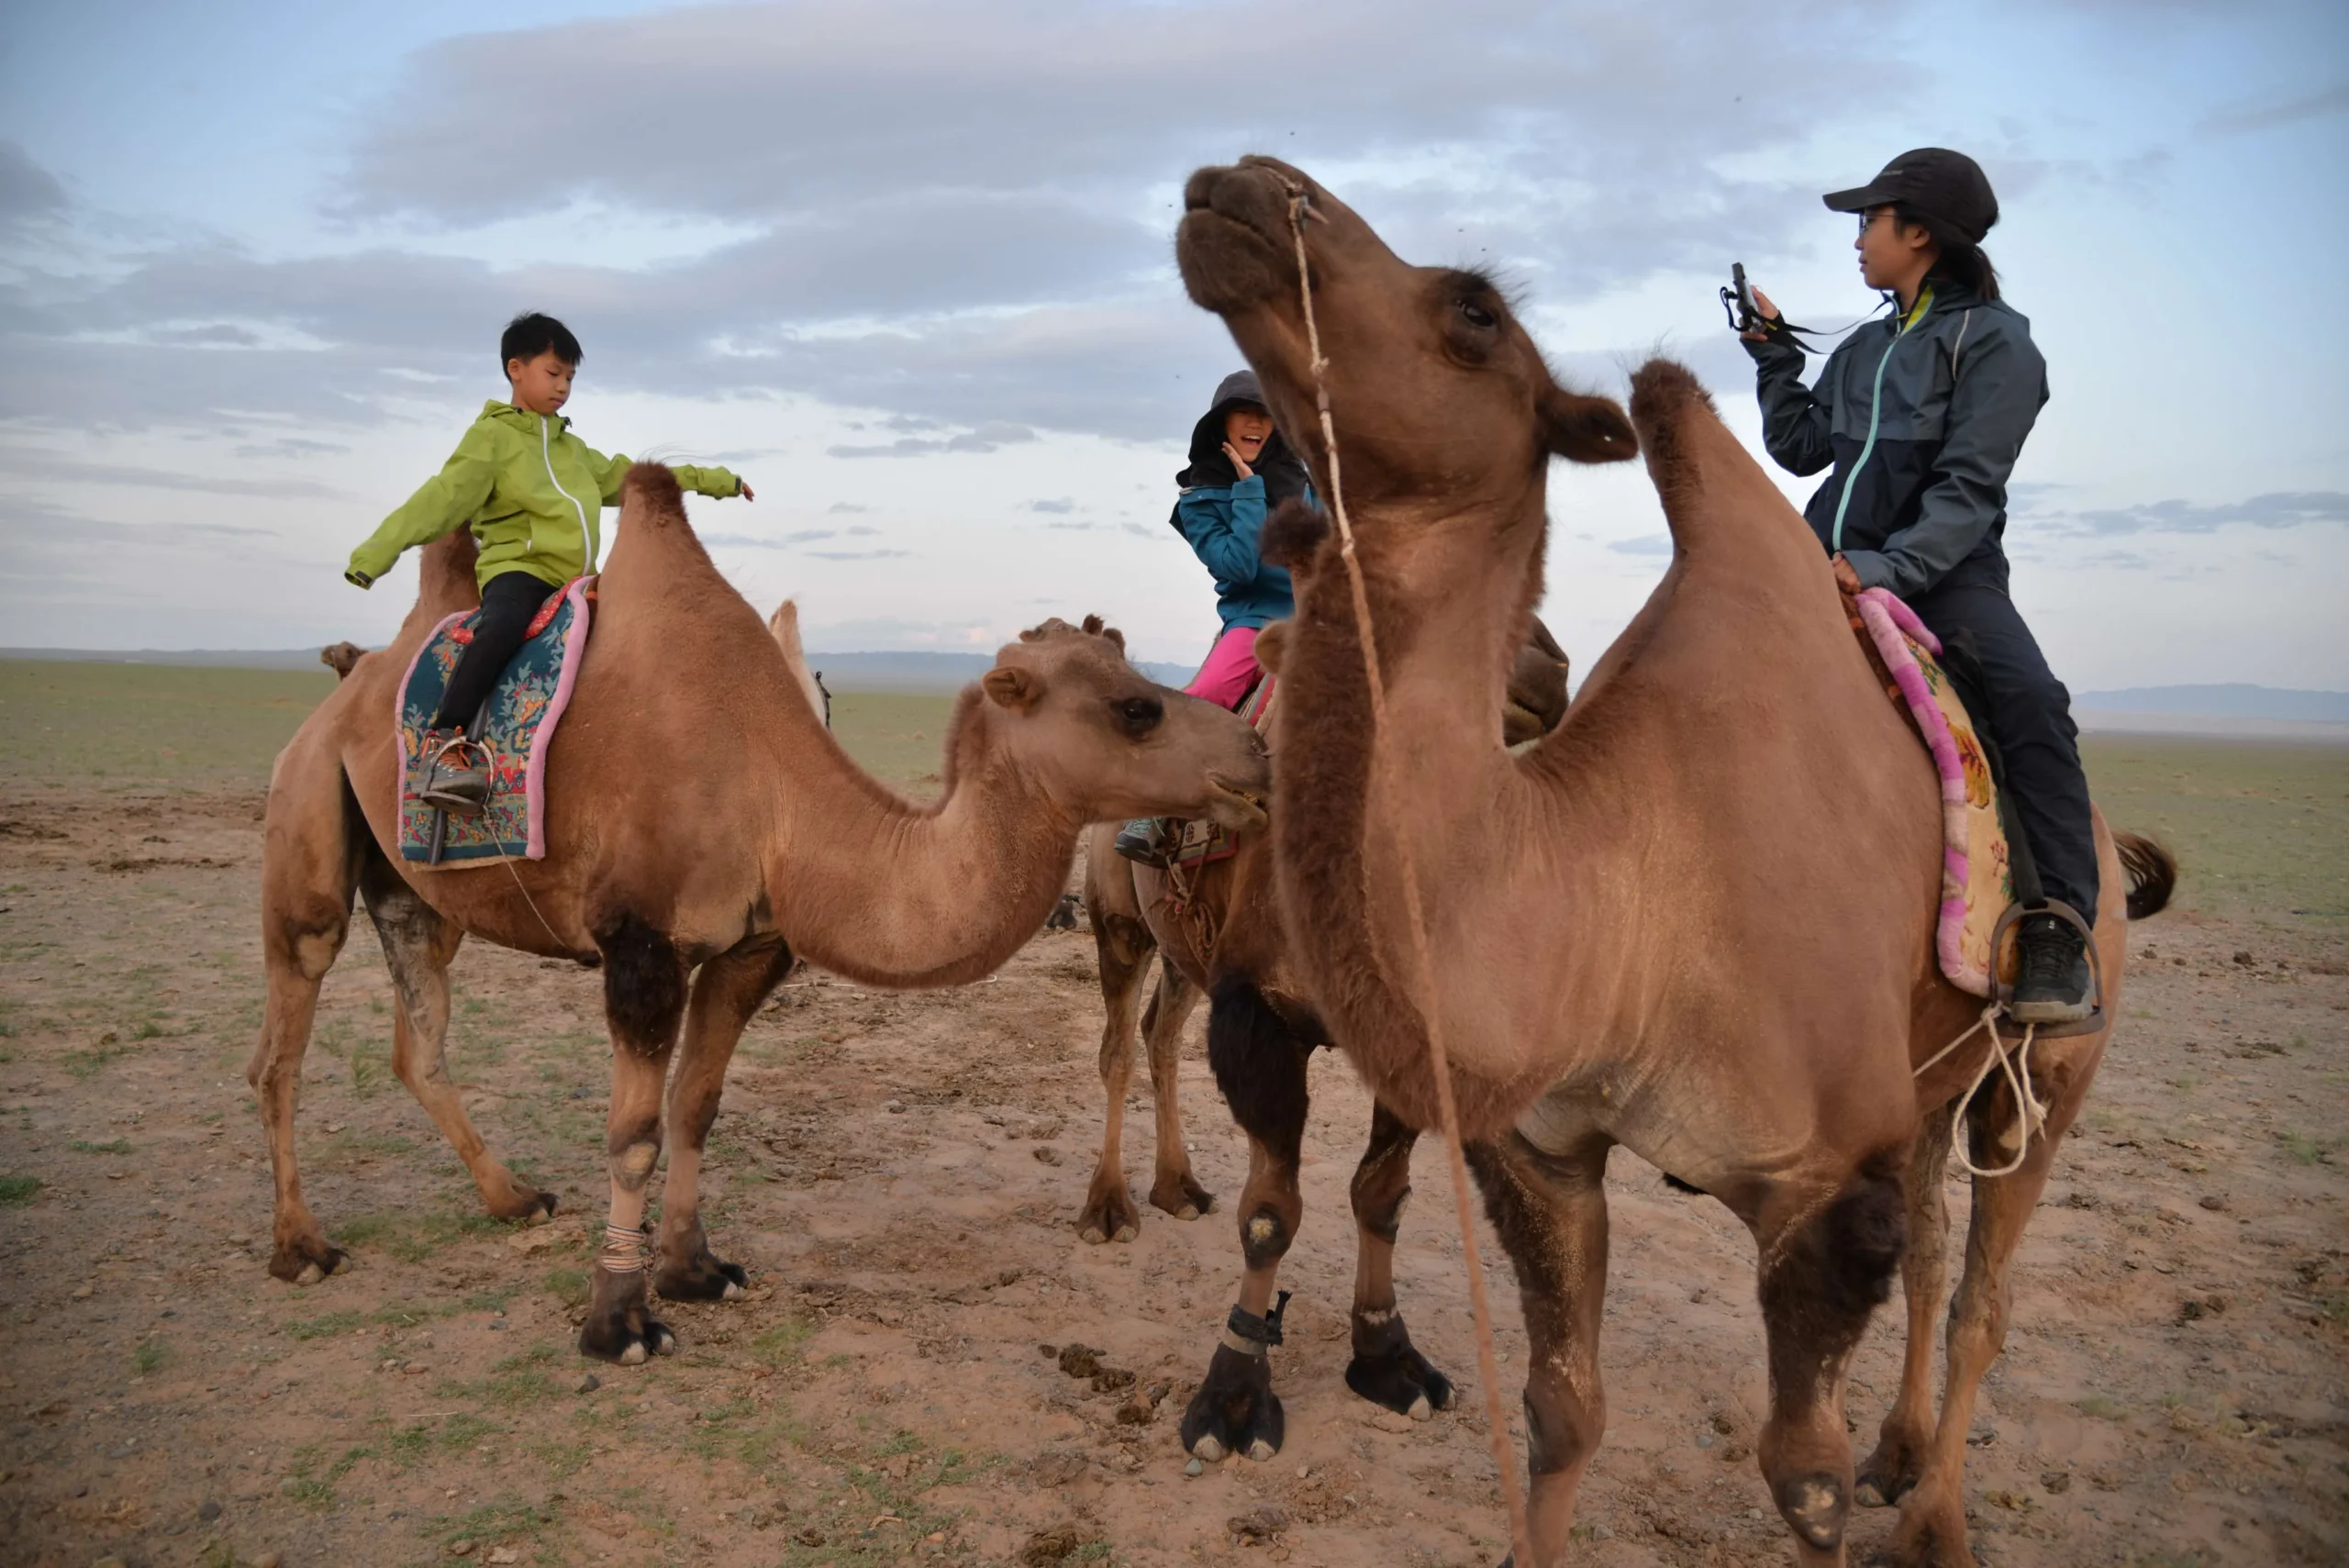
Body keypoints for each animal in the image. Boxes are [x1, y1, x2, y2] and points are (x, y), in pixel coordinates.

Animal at [254, 463, 1270, 1365]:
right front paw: (618, 1319)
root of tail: (345, 692)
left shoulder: (751, 947)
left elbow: (696, 1105)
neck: (773, 792)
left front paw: (693, 1268)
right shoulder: (641, 946)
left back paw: (511, 1197)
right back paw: (301, 1246)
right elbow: (633, 1136)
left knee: (417, 1033)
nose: (1255, 756)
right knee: (286, 1033)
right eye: (1134, 708)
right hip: (305, 811)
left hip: (415, 889)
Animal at [1074, 620, 1571, 1461]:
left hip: (1185, 954)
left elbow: (1381, 1194)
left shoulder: (1411, 1029)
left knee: (1160, 1036)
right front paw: (1232, 1398)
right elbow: (1271, 1212)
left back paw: (1178, 1186)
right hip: (1119, 925)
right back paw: (1108, 1207)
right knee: (1116, 1047)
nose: (1544, 664)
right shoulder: (1259, 1019)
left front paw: (1388, 1356)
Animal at [1173, 157, 2174, 1568]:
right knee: (1934, 1247)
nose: (1247, 186)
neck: (1627, 899)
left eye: (1475, 308)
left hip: (2053, 1061)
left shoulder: (1819, 1186)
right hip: (1931, 1076)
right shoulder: (1549, 1150)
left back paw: (1935, 1518)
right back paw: (1900, 1451)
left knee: (1984, 1286)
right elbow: (1561, 1414)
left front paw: (1845, 1489)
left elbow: (1801, 1478)